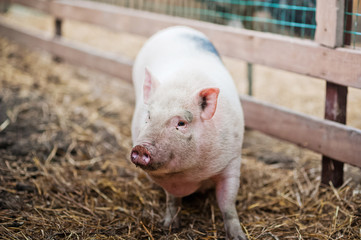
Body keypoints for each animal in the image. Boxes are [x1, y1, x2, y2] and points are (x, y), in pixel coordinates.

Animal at [131, 26, 246, 240]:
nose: (142, 148)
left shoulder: (232, 159)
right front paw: (169, 227)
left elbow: (228, 202)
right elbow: (172, 200)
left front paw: (239, 236)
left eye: (181, 123)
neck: (191, 175)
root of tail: (177, 28)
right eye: (148, 116)